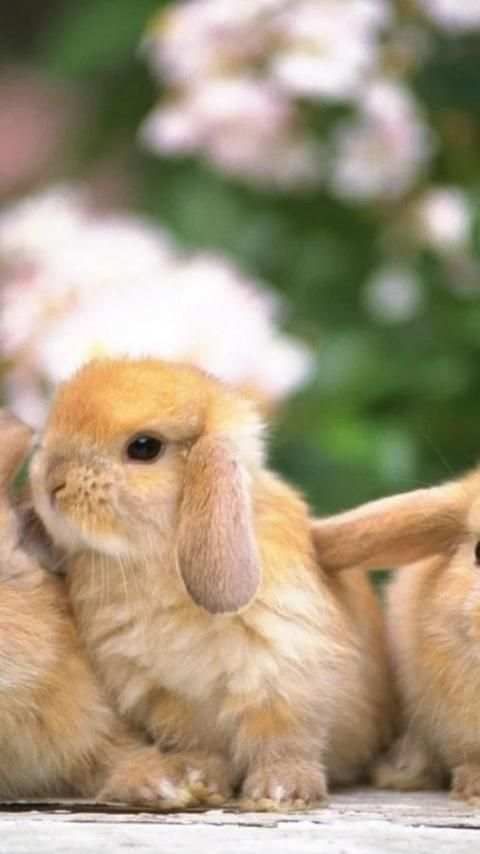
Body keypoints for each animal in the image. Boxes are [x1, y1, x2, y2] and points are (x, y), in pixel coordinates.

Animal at [30, 357, 394, 809]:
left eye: (144, 448)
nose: (51, 483)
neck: (158, 564)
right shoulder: (167, 697)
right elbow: (198, 746)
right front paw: (198, 780)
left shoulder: (286, 678)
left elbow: (286, 740)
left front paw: (281, 791)